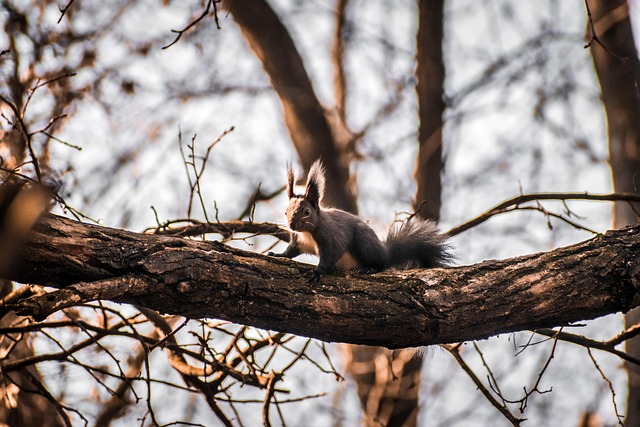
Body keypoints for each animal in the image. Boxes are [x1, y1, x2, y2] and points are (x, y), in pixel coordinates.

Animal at [269, 160, 450, 283]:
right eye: (285, 211)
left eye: (307, 212)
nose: (292, 225)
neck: (307, 233)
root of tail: (385, 252)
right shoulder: (298, 241)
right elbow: (290, 251)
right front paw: (278, 254)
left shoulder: (331, 237)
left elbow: (330, 255)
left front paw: (317, 272)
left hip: (364, 243)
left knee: (382, 264)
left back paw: (369, 268)